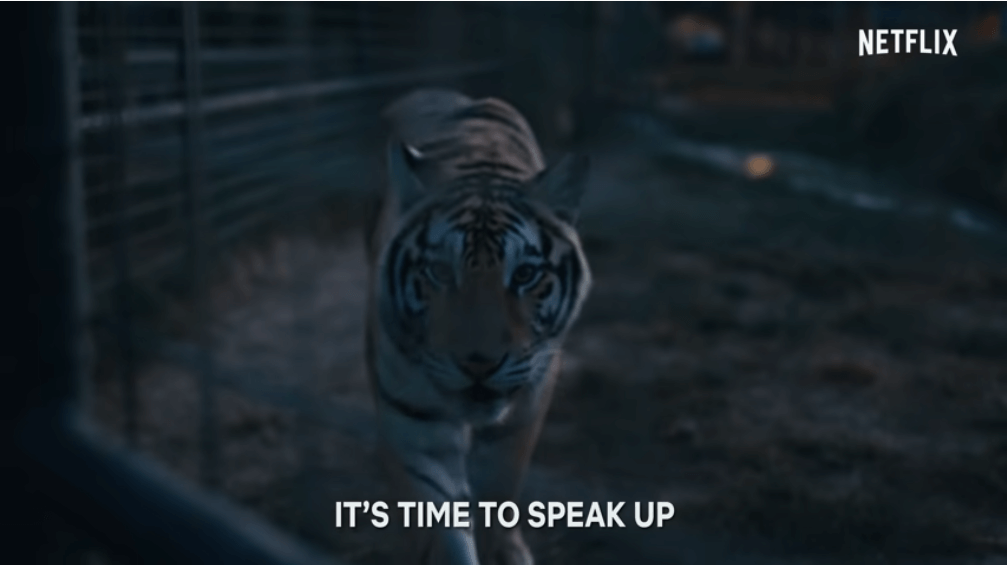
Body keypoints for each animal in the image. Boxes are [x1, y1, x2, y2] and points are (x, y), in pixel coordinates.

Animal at [363, 88, 592, 565]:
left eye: (524, 274)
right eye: (439, 271)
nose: (479, 364)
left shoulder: (524, 409)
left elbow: (500, 489)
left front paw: (507, 551)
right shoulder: (415, 428)